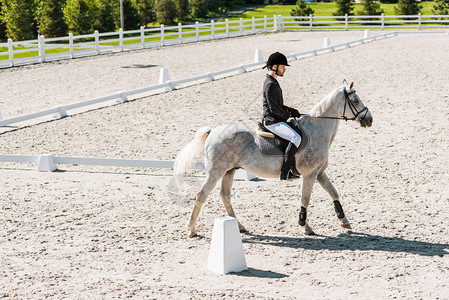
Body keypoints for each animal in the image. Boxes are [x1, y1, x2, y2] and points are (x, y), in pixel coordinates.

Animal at [173, 81, 372, 238]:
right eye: (355, 100)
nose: (369, 119)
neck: (317, 131)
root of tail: (213, 130)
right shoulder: (310, 175)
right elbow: (305, 199)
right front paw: (305, 227)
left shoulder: (319, 172)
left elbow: (334, 192)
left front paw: (344, 220)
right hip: (216, 172)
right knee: (202, 195)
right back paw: (192, 230)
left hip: (229, 171)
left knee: (225, 196)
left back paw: (239, 226)